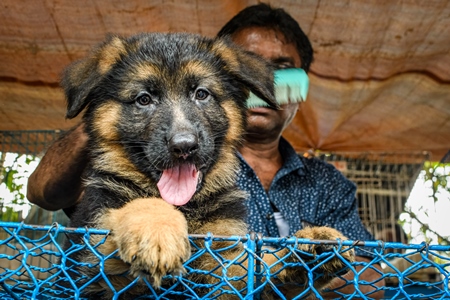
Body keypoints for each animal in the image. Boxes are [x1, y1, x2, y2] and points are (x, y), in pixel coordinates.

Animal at [60, 31, 356, 298]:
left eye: (201, 94)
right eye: (144, 99)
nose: (184, 146)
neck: (187, 207)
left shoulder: (223, 270)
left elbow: (258, 269)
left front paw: (309, 246)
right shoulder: (94, 263)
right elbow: (141, 205)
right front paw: (157, 230)